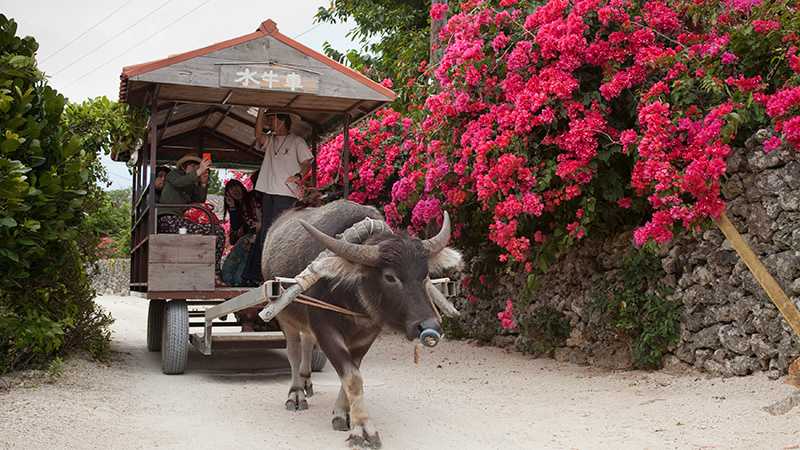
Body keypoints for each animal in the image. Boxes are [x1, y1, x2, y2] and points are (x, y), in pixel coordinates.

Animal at [262, 200, 462, 446]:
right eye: (389, 277)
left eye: (424, 274)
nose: (429, 326)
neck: (353, 298)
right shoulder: (325, 330)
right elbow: (352, 376)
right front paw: (363, 428)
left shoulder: (367, 336)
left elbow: (351, 372)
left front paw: (342, 413)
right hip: (285, 317)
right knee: (294, 352)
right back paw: (297, 393)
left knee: (307, 342)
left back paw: (307, 381)